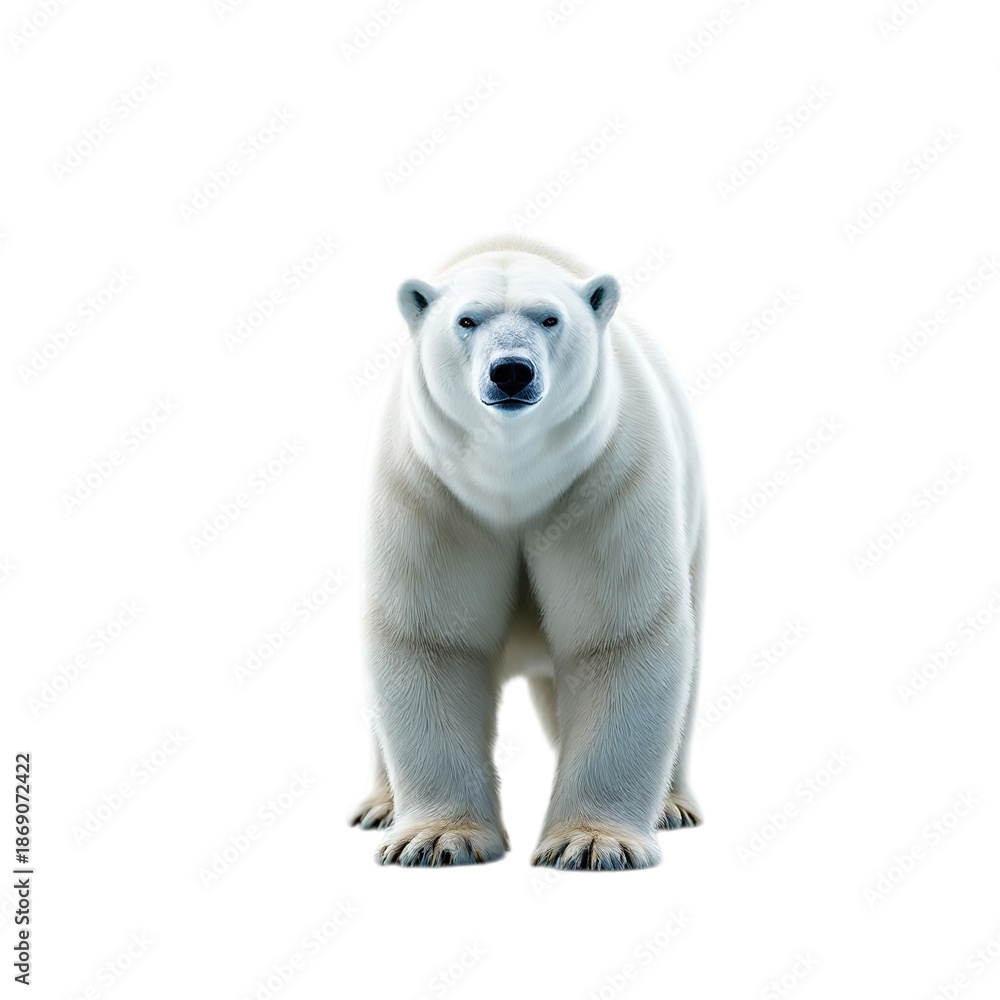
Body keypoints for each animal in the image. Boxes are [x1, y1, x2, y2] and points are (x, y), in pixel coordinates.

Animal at [350, 234, 705, 869]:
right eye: (467, 320)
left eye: (549, 317)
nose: (511, 371)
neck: (511, 477)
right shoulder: (430, 490)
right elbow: (433, 637)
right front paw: (436, 839)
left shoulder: (605, 477)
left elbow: (616, 635)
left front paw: (593, 844)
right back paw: (381, 807)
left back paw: (671, 806)